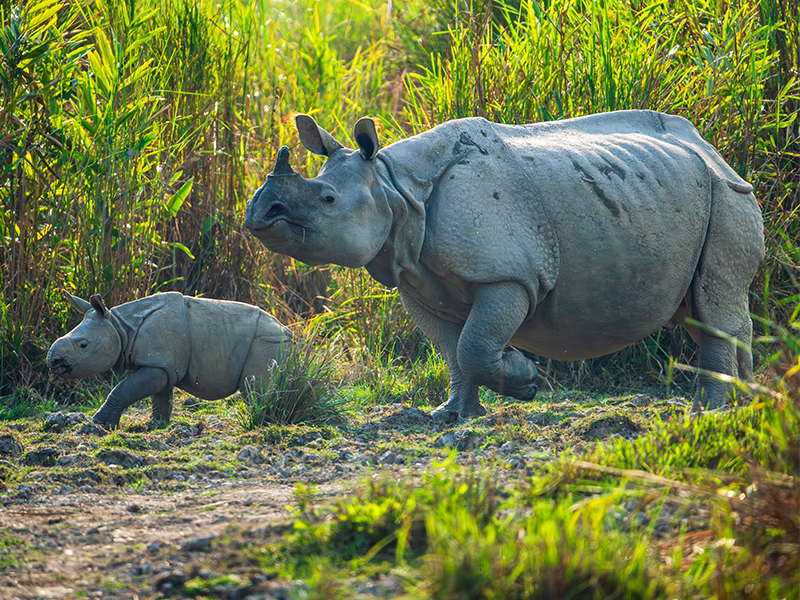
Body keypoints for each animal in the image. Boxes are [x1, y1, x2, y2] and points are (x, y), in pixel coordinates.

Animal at [47, 292, 292, 427]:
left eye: (83, 345)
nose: (53, 361)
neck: (121, 326)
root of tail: (289, 332)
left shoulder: (158, 364)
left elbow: (123, 389)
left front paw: (100, 424)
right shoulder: (161, 365)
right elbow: (160, 395)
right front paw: (156, 425)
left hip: (268, 341)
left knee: (254, 386)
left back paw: (260, 421)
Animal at [245, 110, 764, 422]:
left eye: (328, 199)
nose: (258, 214)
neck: (396, 189)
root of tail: (712, 149)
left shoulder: (509, 275)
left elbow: (475, 345)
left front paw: (526, 378)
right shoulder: (417, 282)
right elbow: (452, 351)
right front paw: (452, 416)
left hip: (728, 195)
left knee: (715, 306)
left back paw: (709, 411)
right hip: (682, 192)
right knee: (702, 309)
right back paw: (744, 401)